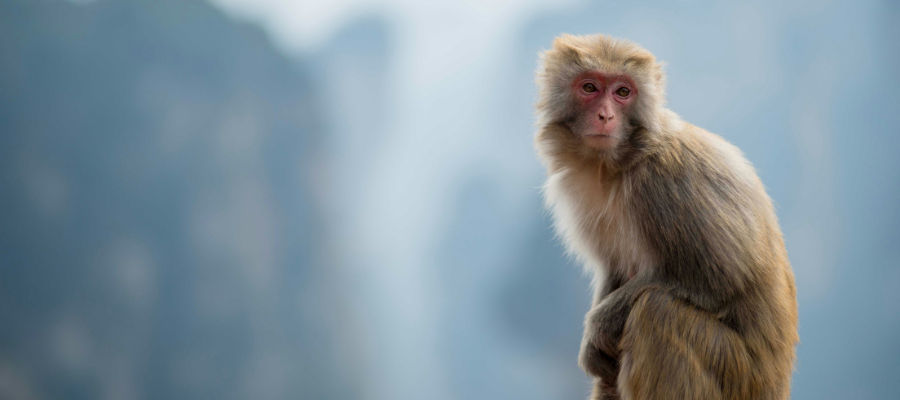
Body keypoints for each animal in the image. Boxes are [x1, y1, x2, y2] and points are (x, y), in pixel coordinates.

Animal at [533, 34, 798, 400]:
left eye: (623, 92)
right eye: (589, 87)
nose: (604, 115)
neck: (620, 162)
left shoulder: (666, 182)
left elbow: (719, 276)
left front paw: (597, 328)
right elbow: (616, 269)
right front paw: (593, 346)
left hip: (738, 374)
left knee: (657, 310)